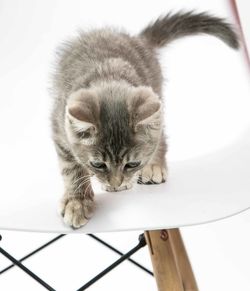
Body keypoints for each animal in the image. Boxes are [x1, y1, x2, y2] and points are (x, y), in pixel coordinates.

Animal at [50, 11, 238, 229]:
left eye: (132, 164)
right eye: (98, 164)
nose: (116, 183)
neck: (107, 78)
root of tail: (137, 40)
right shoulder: (59, 127)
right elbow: (71, 168)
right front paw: (78, 200)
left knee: (161, 136)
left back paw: (154, 166)